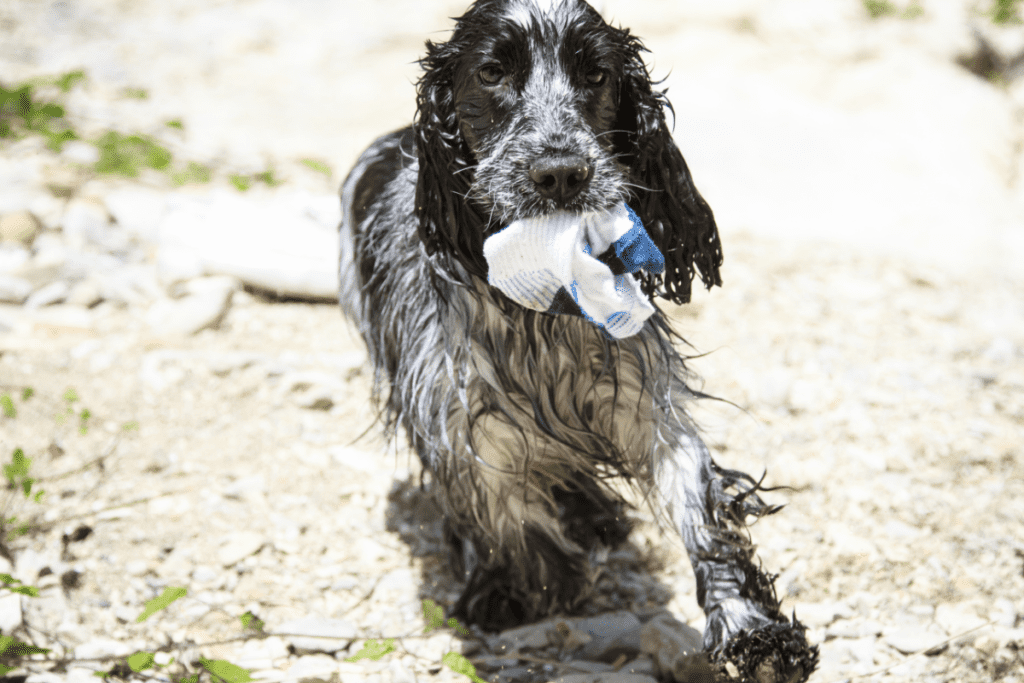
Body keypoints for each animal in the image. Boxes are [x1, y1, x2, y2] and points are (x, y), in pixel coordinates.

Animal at [339, 1, 819, 679]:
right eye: (490, 72)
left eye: (596, 75)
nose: (561, 173)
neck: (543, 314)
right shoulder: (457, 412)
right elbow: (500, 506)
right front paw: (528, 579)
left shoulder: (644, 404)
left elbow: (701, 512)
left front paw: (753, 630)